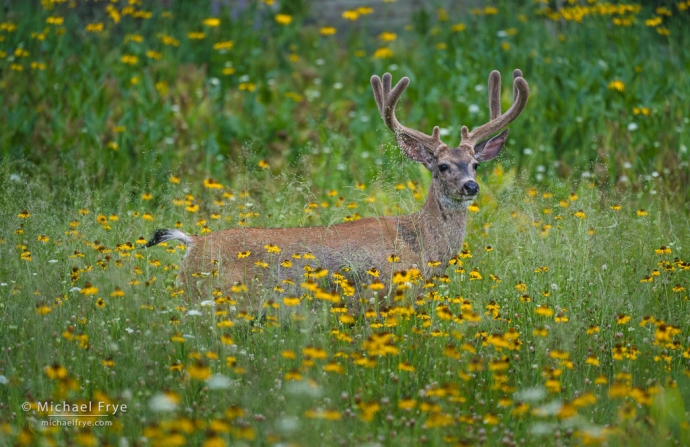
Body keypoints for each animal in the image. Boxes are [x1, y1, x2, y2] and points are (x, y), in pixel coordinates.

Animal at [148, 70, 528, 312]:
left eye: (475, 164)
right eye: (442, 166)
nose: (471, 186)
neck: (419, 242)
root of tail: (192, 243)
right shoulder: (379, 294)